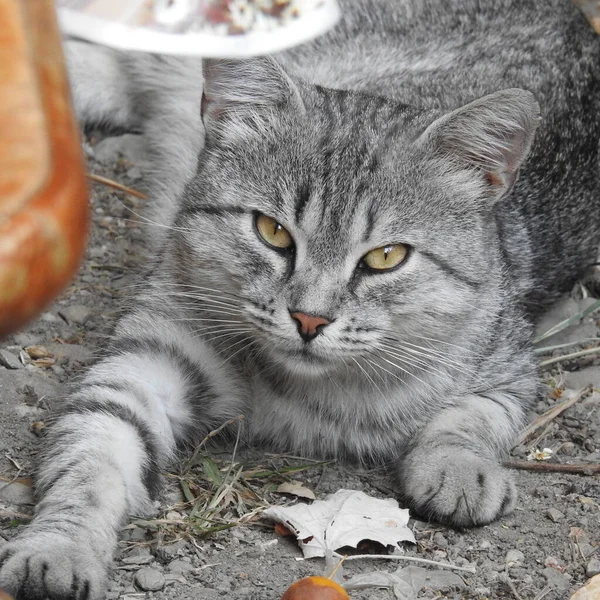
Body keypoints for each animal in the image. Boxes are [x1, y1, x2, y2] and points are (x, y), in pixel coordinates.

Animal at [1, 0, 600, 596]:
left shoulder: (509, 370)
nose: (309, 318)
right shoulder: (151, 353)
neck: (305, 392)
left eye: (386, 257)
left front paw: (457, 468)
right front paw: (60, 546)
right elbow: (92, 452)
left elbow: (468, 418)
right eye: (272, 231)